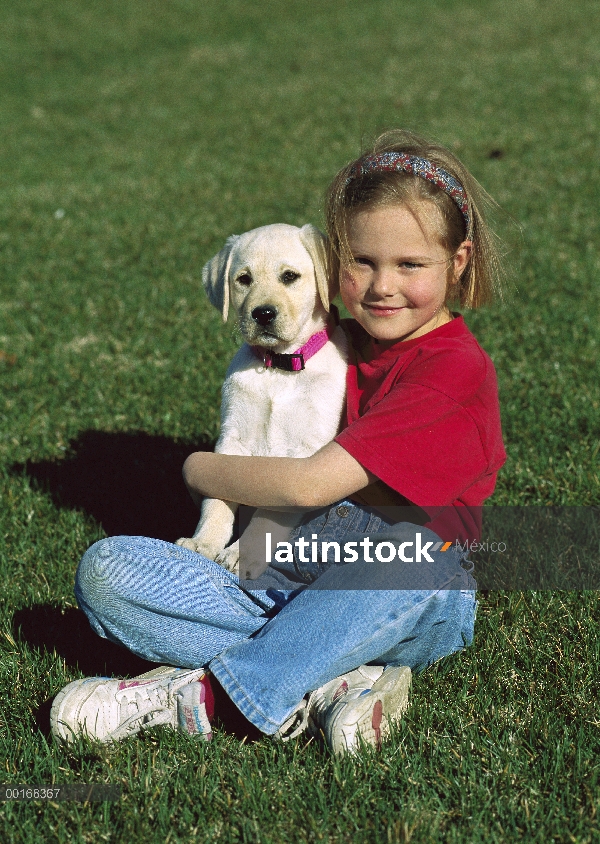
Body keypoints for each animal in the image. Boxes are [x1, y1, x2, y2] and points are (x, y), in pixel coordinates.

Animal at [176, 224, 346, 576]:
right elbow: (216, 496)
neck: (278, 366)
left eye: (289, 276)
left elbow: (269, 515)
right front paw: (203, 543)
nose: (263, 314)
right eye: (243, 279)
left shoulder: (304, 456)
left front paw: (241, 553)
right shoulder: (233, 438)